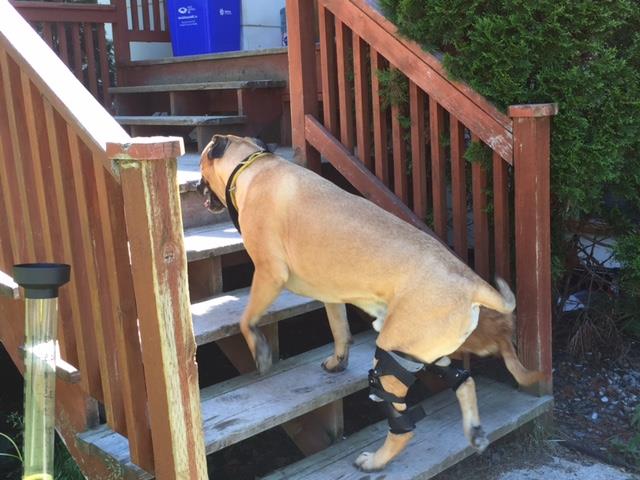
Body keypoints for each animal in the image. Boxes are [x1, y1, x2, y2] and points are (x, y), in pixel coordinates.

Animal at [199, 133, 540, 470]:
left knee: (403, 427)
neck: (251, 166)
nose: (200, 192)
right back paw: (474, 431)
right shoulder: (330, 293)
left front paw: (259, 351)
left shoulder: (268, 274)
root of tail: (471, 283)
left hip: (391, 358)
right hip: (424, 350)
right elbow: (338, 328)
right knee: (464, 382)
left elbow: (246, 319)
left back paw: (375, 461)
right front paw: (338, 361)